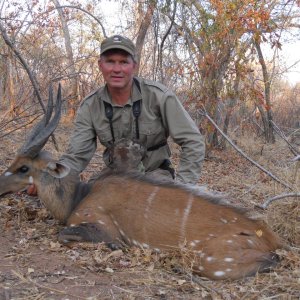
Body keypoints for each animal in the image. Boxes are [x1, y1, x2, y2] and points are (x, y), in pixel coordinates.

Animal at [0, 85, 284, 280]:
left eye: (23, 167)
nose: (0, 186)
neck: (78, 197)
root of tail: (271, 238)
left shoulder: (99, 226)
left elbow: (66, 235)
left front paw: (115, 247)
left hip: (211, 260)